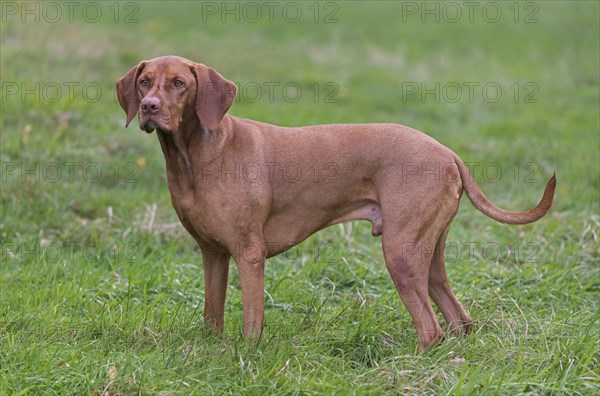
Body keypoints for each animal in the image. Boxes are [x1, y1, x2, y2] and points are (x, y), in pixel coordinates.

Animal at [115, 56, 556, 352]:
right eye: (144, 82)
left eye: (178, 83)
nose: (149, 107)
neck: (197, 155)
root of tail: (448, 153)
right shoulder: (212, 254)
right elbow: (212, 312)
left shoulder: (249, 254)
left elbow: (252, 321)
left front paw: (247, 355)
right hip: (426, 256)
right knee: (458, 320)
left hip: (400, 253)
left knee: (430, 328)